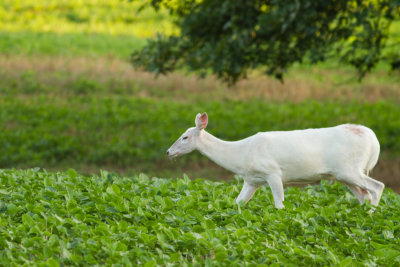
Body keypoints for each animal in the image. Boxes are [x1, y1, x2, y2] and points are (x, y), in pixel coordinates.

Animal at [166, 113, 384, 209]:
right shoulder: (251, 180)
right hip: (343, 174)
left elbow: (279, 205)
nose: (168, 152)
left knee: (377, 186)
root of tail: (374, 141)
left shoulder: (273, 172)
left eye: (185, 137)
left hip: (349, 168)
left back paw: (372, 215)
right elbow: (238, 203)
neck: (242, 155)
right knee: (364, 194)